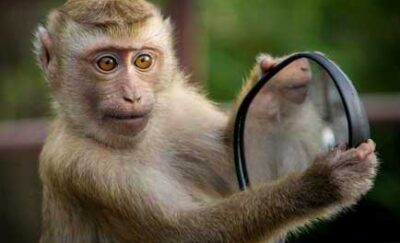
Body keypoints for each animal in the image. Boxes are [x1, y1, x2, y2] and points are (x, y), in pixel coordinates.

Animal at [35, 0, 378, 243]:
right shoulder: (80, 167)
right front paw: (320, 183)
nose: (132, 96)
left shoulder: (178, 111)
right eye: (107, 63)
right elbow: (187, 234)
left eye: (143, 60)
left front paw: (275, 88)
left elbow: (237, 165)